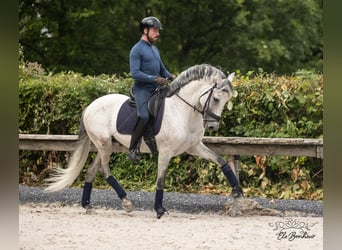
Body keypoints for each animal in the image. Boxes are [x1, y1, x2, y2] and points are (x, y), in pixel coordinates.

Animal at [46, 63, 243, 218]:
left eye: (227, 100)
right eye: (216, 98)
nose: (213, 127)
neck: (183, 111)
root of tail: (90, 106)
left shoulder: (194, 147)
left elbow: (221, 161)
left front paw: (237, 191)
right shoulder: (165, 152)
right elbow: (161, 179)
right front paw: (159, 209)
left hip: (107, 145)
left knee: (92, 171)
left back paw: (87, 205)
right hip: (104, 144)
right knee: (105, 170)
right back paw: (126, 203)